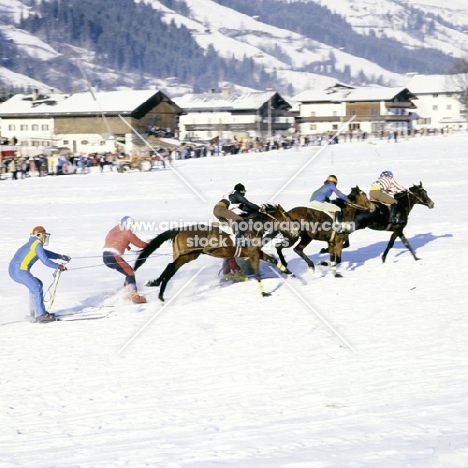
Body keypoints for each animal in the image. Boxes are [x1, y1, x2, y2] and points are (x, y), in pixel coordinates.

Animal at [133, 204, 298, 300]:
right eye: (287, 218)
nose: (296, 231)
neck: (254, 227)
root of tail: (180, 229)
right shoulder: (253, 254)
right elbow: (257, 273)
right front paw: (264, 293)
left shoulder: (256, 252)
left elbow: (274, 260)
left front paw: (292, 274)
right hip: (188, 255)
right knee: (170, 268)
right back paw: (158, 290)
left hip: (185, 256)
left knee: (170, 268)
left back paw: (158, 289)